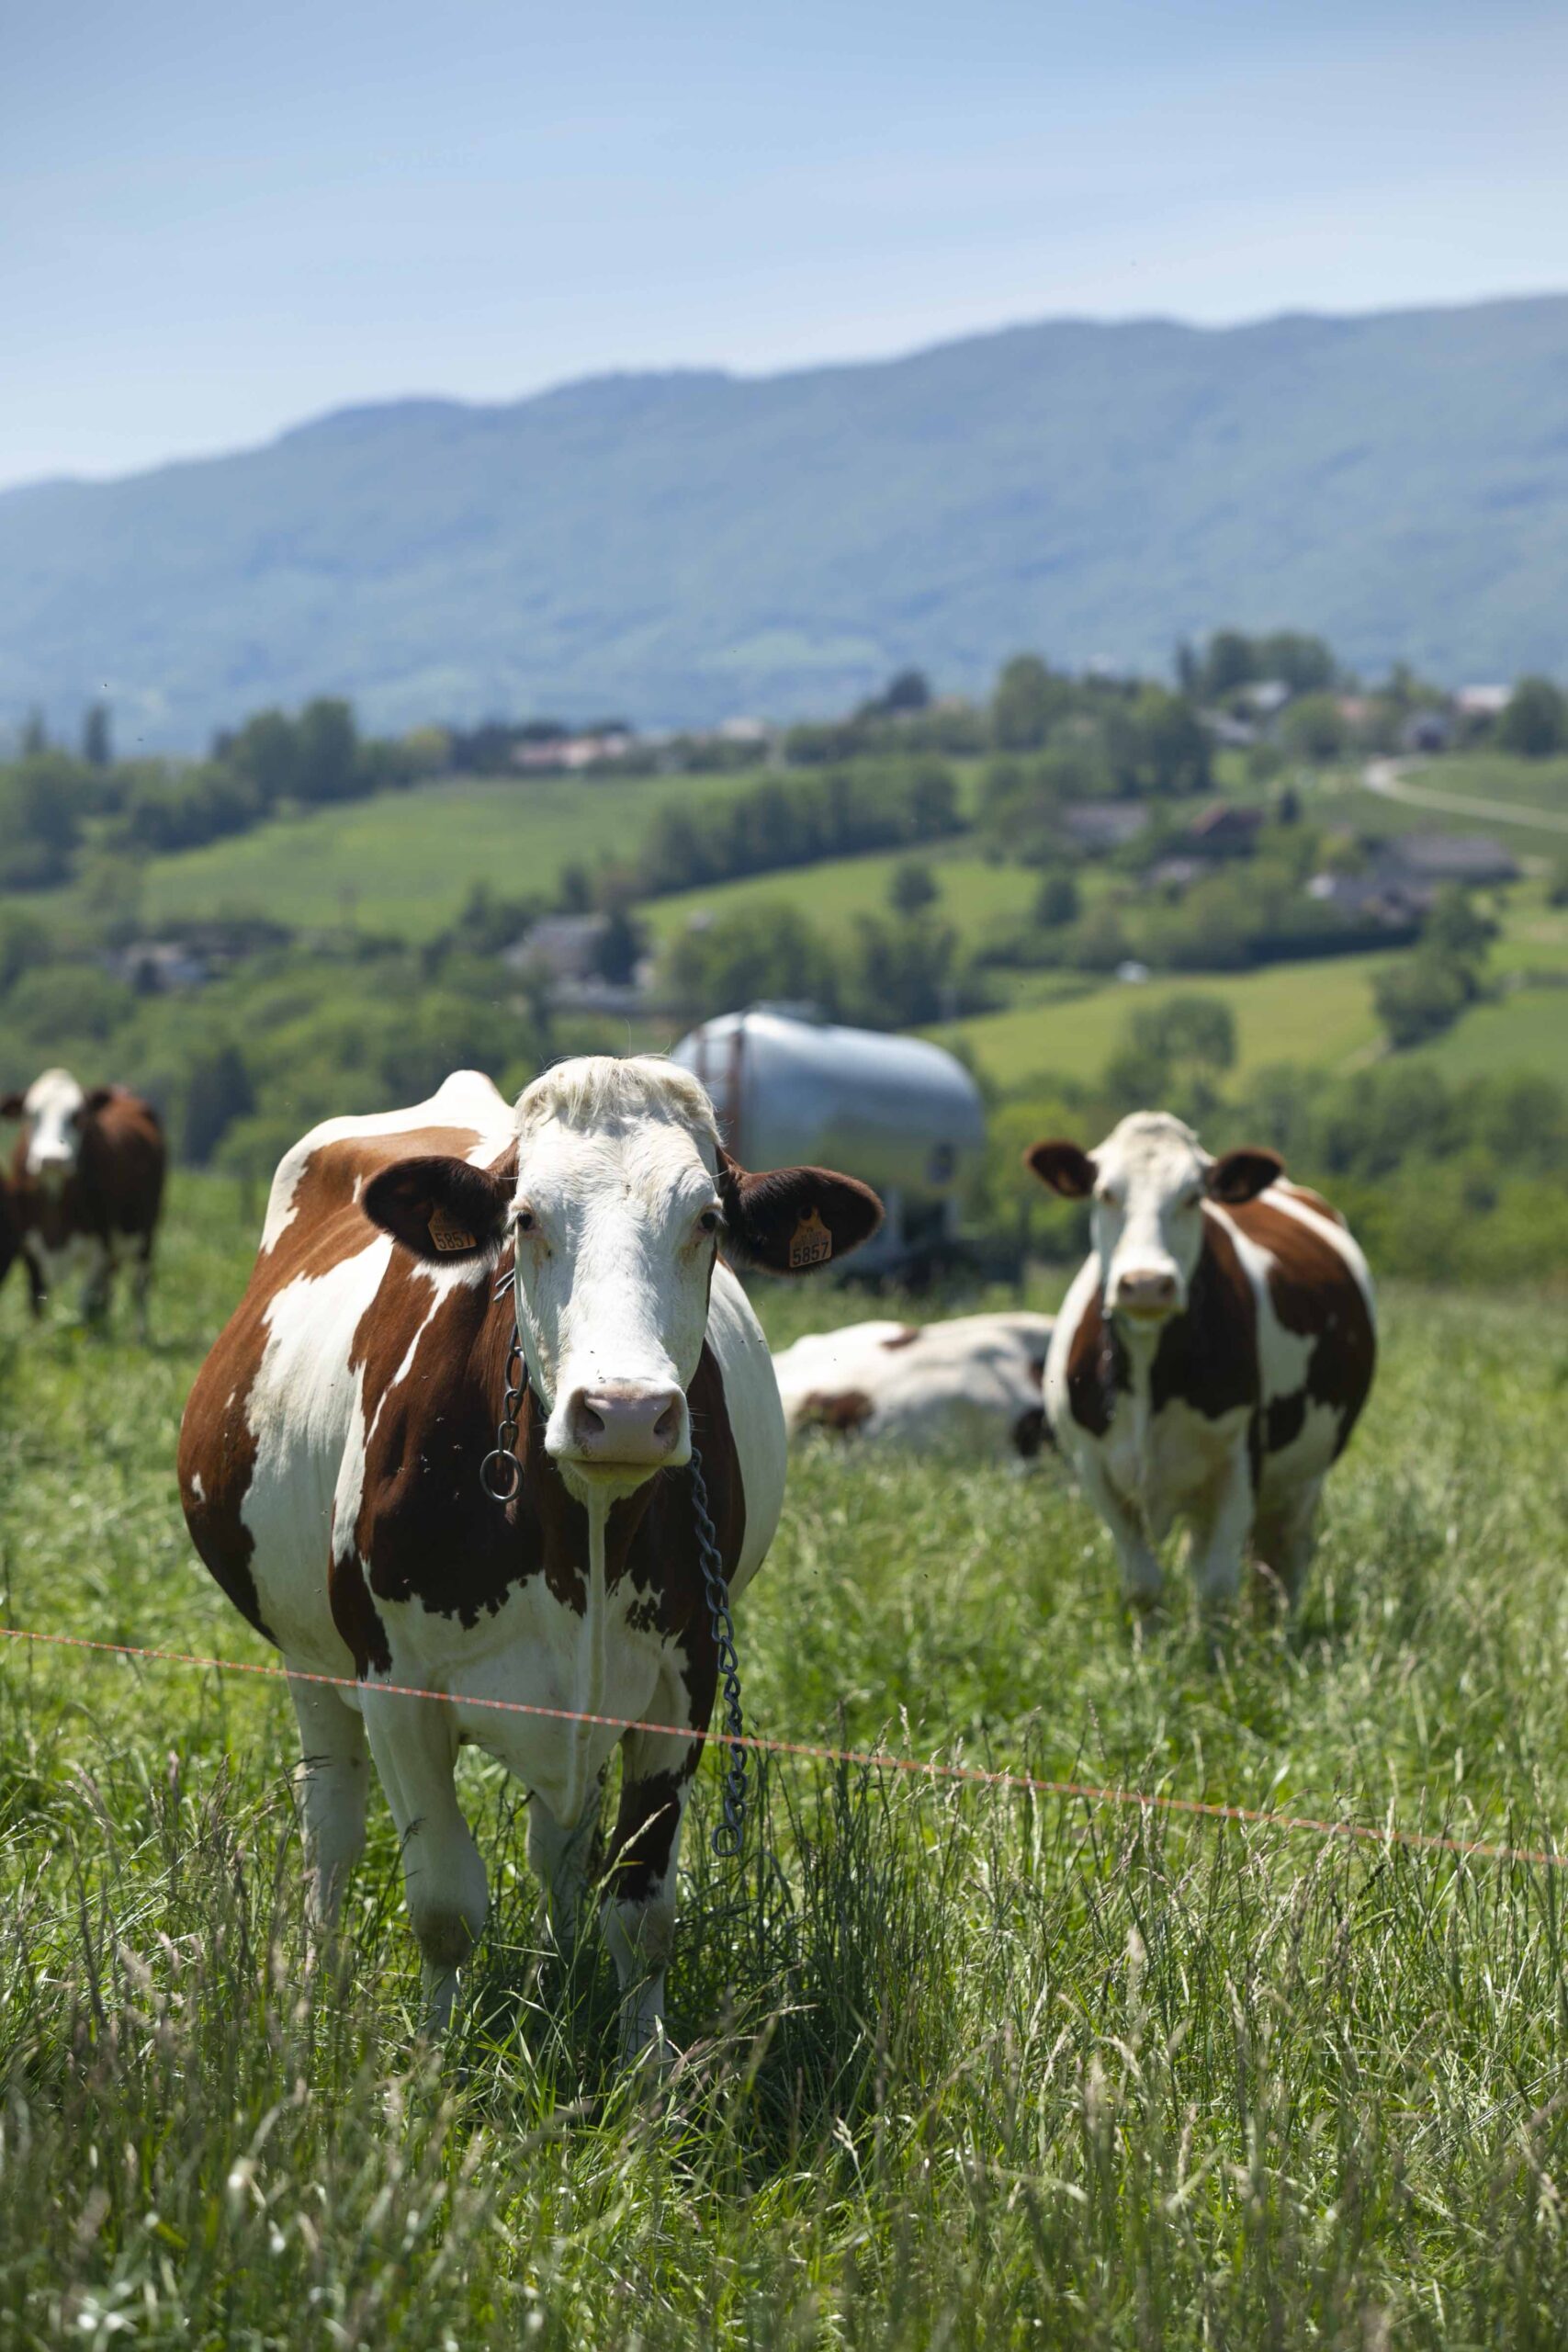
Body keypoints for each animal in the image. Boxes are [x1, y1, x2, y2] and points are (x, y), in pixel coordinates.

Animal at [1, 1072, 169, 1345]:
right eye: (30, 1114)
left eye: (78, 1115)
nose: (52, 1160)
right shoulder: (29, 1248)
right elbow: (36, 1299)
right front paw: (37, 1339)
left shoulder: (99, 1248)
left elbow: (87, 1302)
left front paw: (88, 1343)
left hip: (146, 1233)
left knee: (138, 1285)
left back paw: (139, 1336)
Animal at [181, 1068, 884, 2060]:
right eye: (524, 1218)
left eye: (708, 1218)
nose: (623, 1412)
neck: (575, 1535)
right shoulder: (397, 1688)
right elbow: (444, 1908)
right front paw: (431, 2066)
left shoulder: (682, 1685)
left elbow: (641, 1912)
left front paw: (645, 2074)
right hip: (308, 1656)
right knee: (332, 1826)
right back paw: (316, 1984)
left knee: (557, 1844)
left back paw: (560, 1971)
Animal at [1034, 1114, 1382, 1618]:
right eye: (1105, 1192)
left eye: (1193, 1195)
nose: (1146, 1284)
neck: (1149, 1375)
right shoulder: (1096, 1469)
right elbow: (1143, 1585)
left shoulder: (1238, 1467)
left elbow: (1216, 1590)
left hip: (1302, 1477)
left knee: (1282, 1564)